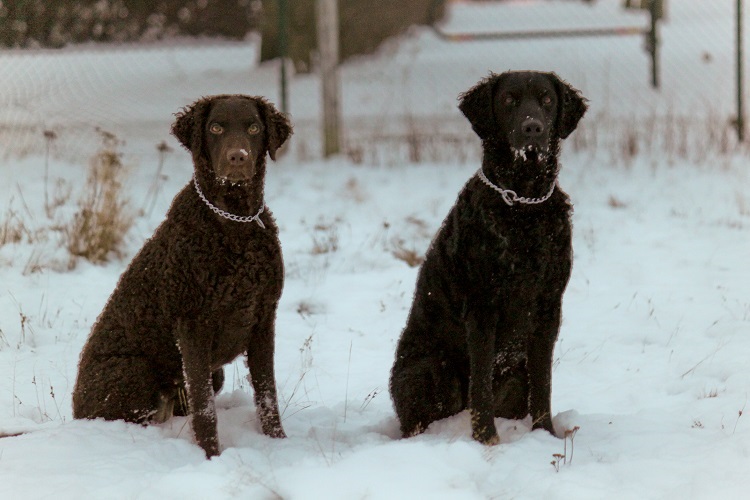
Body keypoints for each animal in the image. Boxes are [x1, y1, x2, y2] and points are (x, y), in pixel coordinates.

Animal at [72, 94, 290, 458]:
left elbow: (267, 396)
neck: (233, 223)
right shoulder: (192, 325)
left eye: (254, 128)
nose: (237, 157)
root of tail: (74, 408)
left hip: (208, 374)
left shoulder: (263, 319)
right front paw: (213, 457)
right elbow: (205, 409)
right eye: (215, 128)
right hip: (134, 372)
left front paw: (279, 444)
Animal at [390, 71, 592, 446]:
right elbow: (480, 384)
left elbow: (543, 384)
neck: (523, 206)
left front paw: (544, 434)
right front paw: (486, 439)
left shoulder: (548, 306)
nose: (532, 128)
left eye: (547, 99)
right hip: (428, 370)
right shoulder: (482, 306)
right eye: (509, 100)